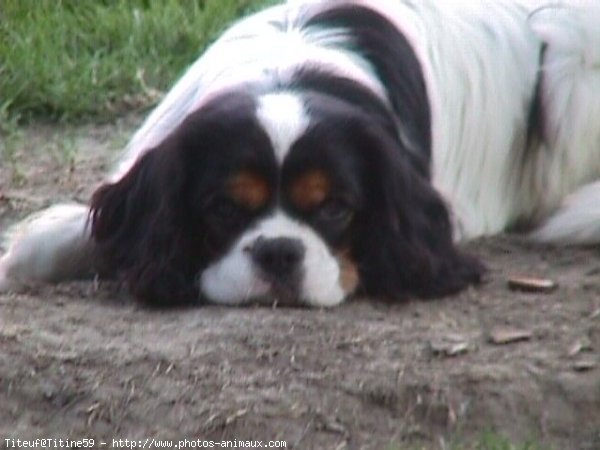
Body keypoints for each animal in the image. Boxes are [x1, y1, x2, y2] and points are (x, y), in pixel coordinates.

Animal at [1, 0, 600, 308]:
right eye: (223, 208)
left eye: (335, 208)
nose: (279, 253)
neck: (289, 69)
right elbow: (61, 235)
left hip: (571, 58)